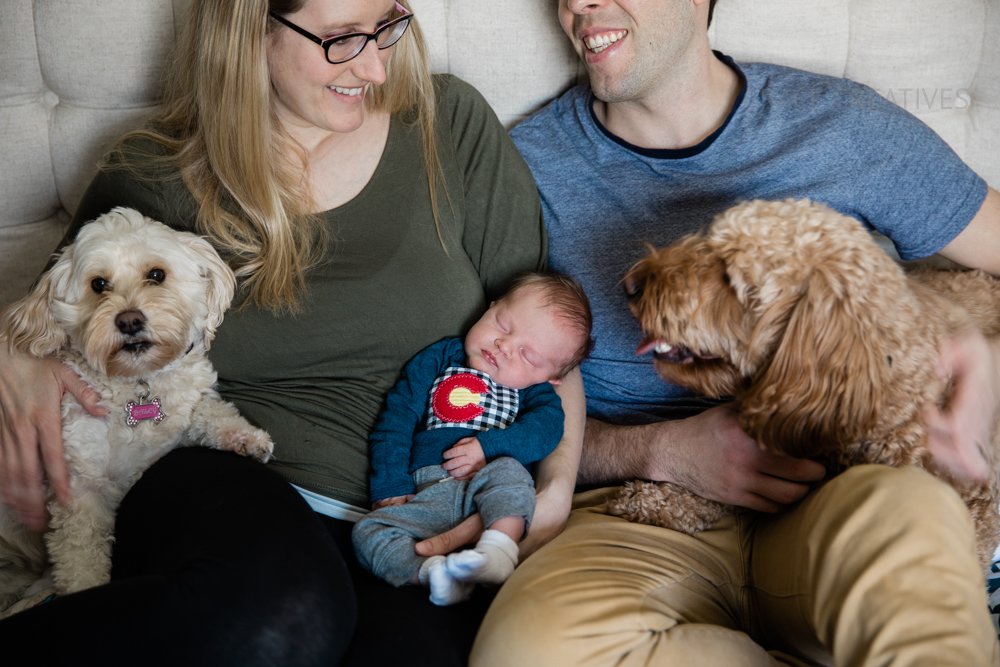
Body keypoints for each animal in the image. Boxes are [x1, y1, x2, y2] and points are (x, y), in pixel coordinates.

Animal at [0, 206, 274, 612]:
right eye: (99, 284)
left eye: (156, 274)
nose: (129, 320)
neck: (136, 382)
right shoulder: (79, 489)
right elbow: (81, 557)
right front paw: (86, 592)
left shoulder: (180, 416)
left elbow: (208, 411)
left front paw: (246, 436)